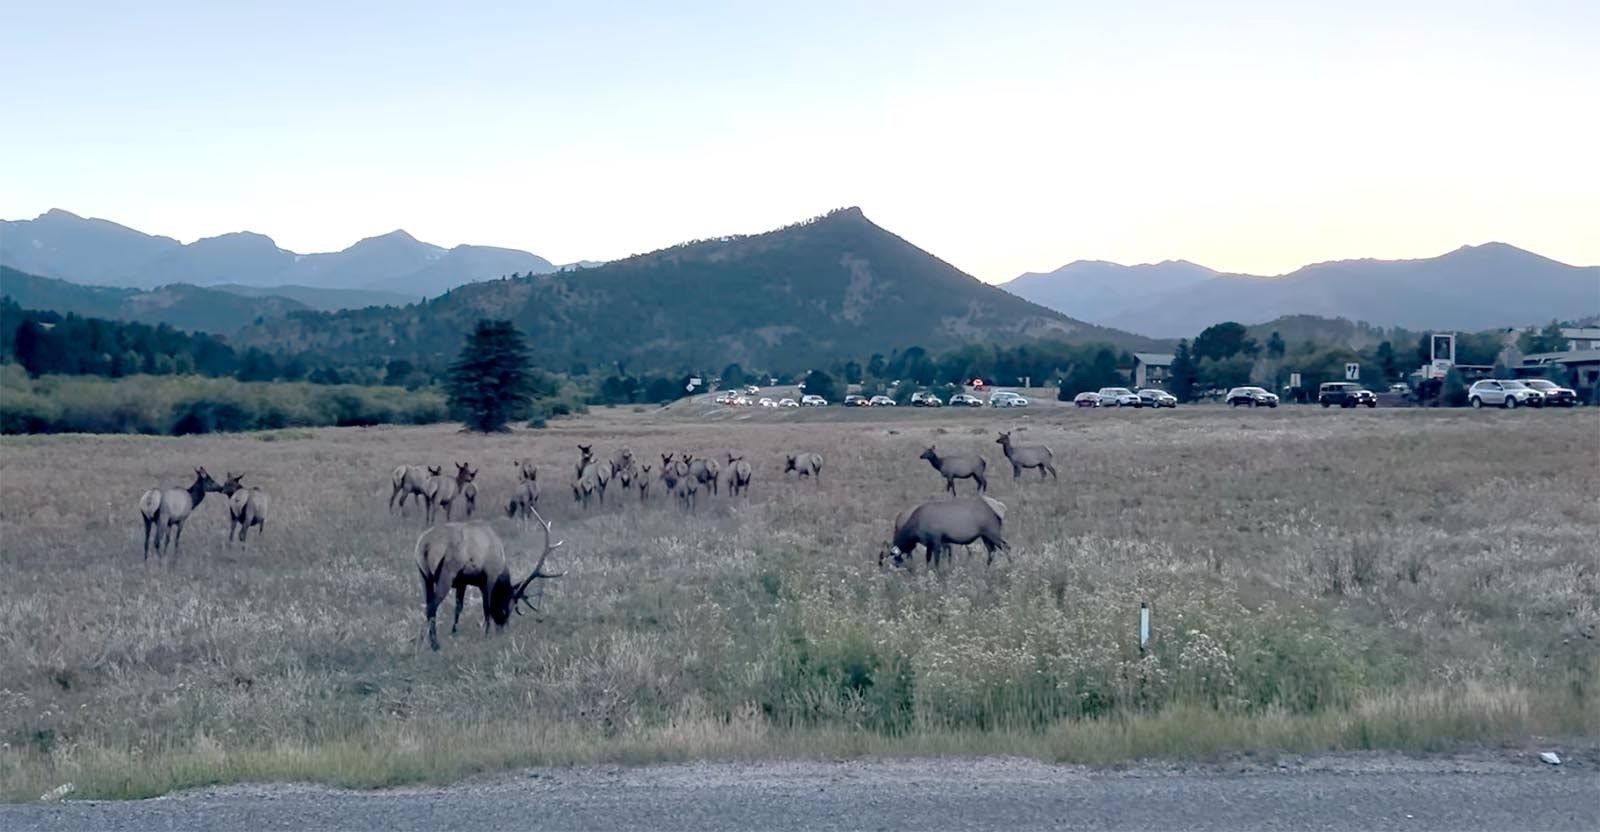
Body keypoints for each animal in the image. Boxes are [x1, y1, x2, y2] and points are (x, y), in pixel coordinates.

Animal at [416, 508, 566, 652]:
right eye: (508, 608)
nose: (502, 628)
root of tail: (426, 545)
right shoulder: (489, 577)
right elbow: (486, 607)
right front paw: (487, 634)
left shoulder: (462, 582)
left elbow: (458, 608)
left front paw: (454, 632)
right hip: (446, 574)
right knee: (431, 607)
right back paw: (434, 644)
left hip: (424, 576)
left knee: (428, 605)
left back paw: (426, 641)